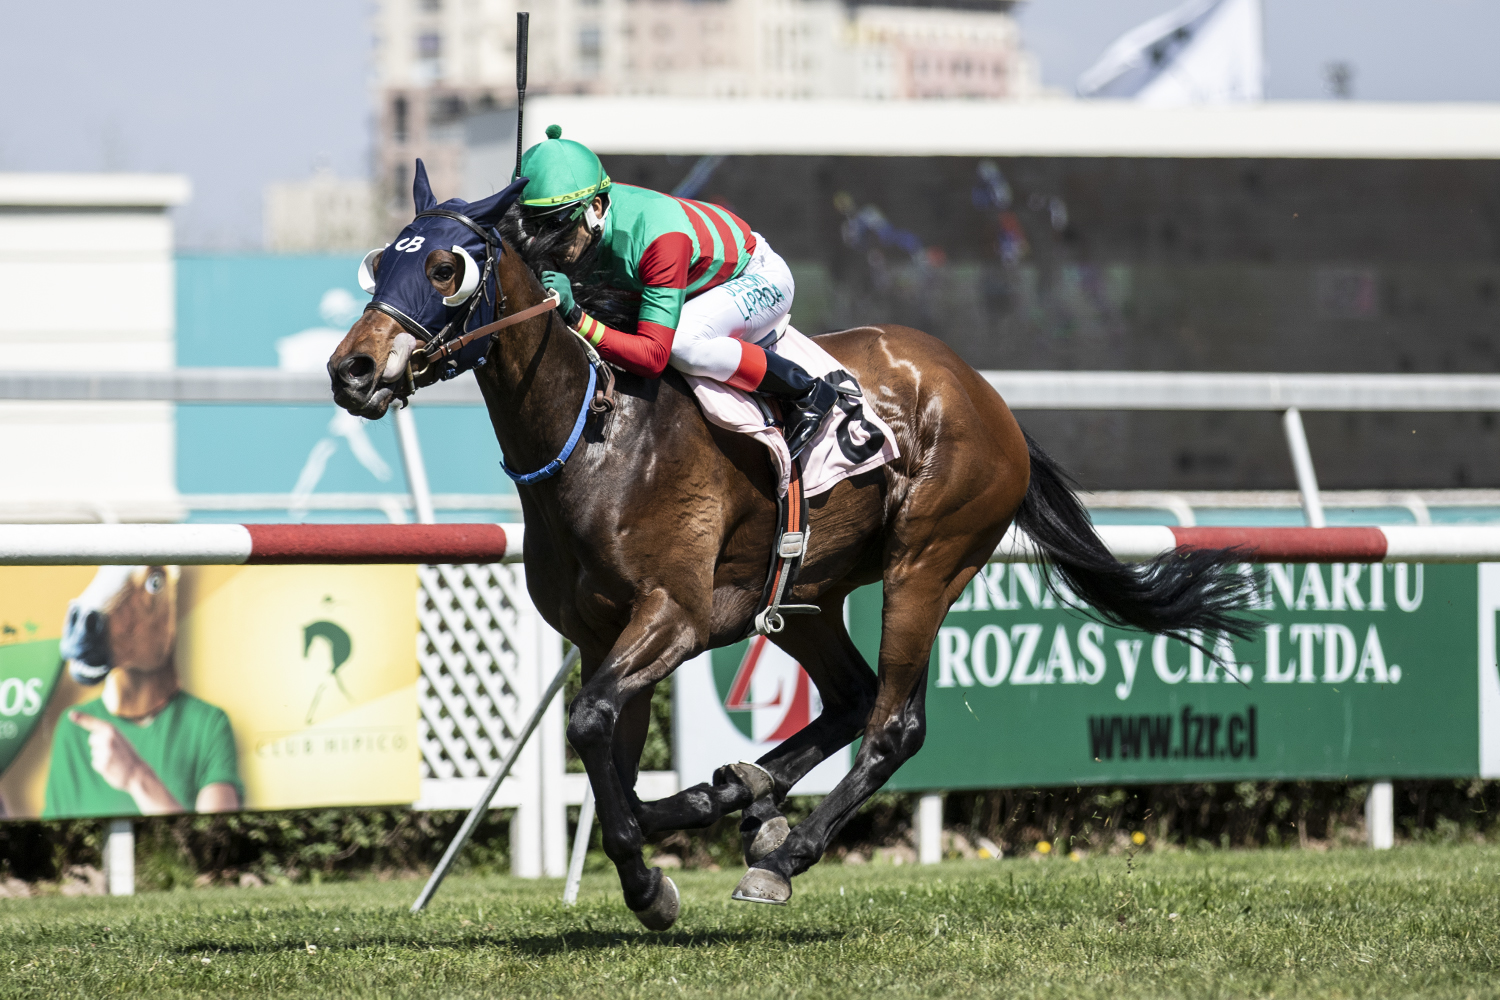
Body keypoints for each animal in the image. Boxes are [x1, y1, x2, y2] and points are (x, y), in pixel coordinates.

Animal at [328, 172, 1250, 930]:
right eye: (379, 267)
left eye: (445, 269)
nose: (353, 368)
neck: (597, 431)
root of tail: (983, 395)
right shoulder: (601, 635)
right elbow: (606, 750)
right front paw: (660, 855)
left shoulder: (678, 615)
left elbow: (590, 722)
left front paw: (650, 885)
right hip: (807, 594)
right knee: (850, 698)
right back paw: (742, 793)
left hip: (926, 564)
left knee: (893, 724)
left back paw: (783, 851)